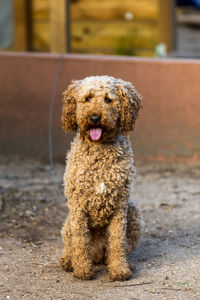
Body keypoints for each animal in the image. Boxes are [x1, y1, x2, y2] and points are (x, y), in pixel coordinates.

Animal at [59, 75, 144, 282]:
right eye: (88, 98)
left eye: (108, 99)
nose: (95, 118)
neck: (99, 148)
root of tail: (97, 254)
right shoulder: (78, 206)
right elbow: (80, 241)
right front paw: (82, 270)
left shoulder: (120, 205)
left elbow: (117, 241)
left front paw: (119, 269)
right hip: (68, 224)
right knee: (71, 246)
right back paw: (68, 261)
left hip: (134, 213)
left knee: (122, 248)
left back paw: (125, 262)